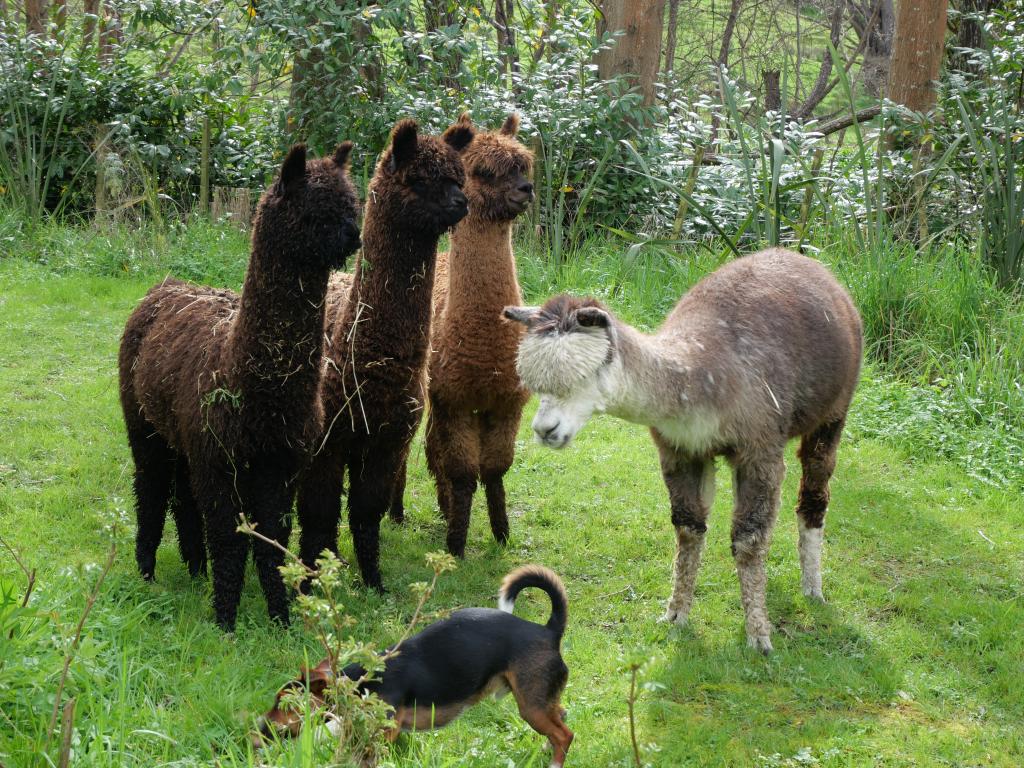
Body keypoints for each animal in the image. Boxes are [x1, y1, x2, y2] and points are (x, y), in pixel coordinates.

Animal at [258, 561, 577, 765]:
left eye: (283, 704)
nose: (260, 728)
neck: (359, 683)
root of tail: (549, 631)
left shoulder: (384, 733)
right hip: (540, 702)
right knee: (561, 716)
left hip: (532, 707)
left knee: (565, 735)